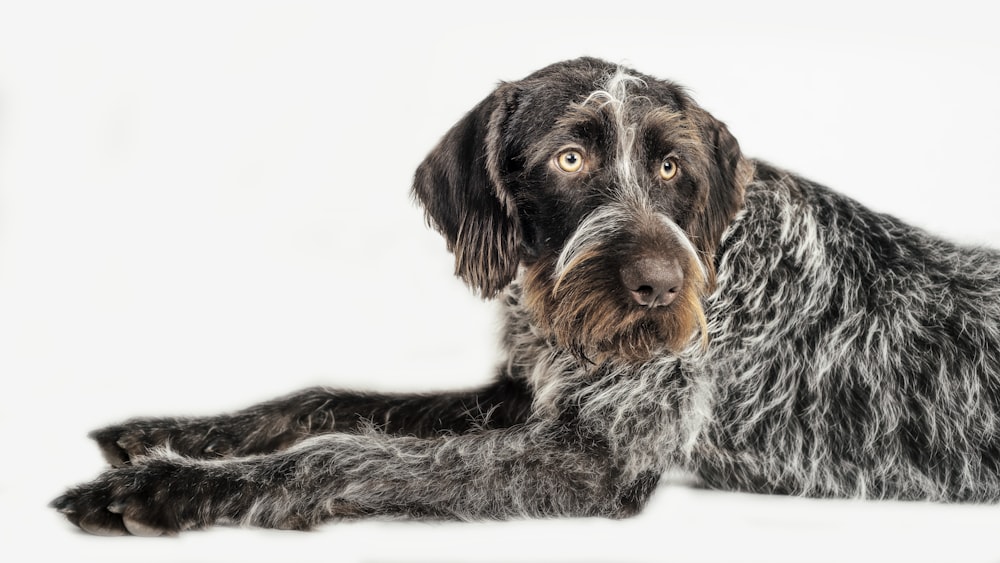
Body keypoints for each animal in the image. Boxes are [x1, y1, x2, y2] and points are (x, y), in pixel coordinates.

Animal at [50, 57, 1000, 536]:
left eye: (671, 166)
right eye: (569, 158)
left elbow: (345, 453)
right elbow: (328, 400)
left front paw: (175, 485)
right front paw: (179, 433)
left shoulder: (595, 458)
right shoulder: (527, 395)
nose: (660, 289)